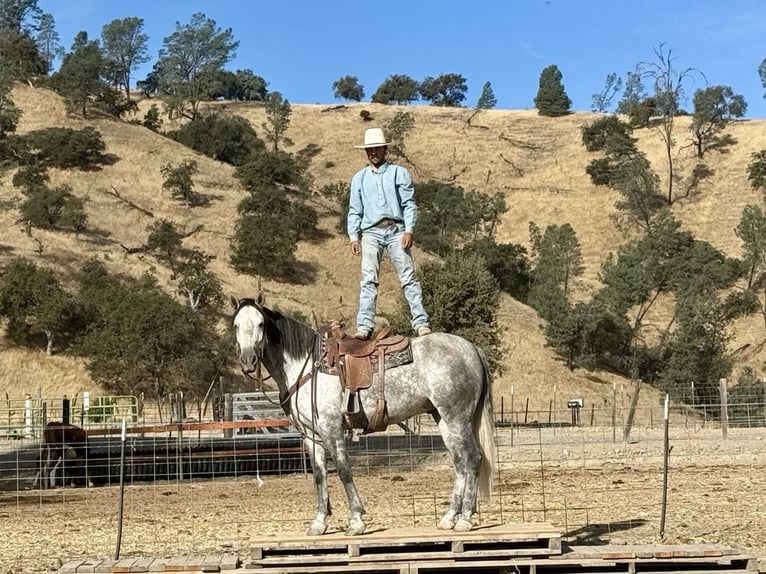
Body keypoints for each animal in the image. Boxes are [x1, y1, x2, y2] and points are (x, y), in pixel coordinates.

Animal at [232, 296, 498, 540]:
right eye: (235, 325)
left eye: (260, 324)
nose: (248, 360)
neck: (307, 367)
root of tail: (472, 349)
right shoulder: (310, 435)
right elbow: (319, 474)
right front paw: (319, 522)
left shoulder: (331, 428)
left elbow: (343, 470)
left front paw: (356, 521)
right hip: (443, 419)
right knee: (459, 462)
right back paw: (449, 517)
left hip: (457, 417)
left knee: (473, 458)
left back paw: (465, 519)